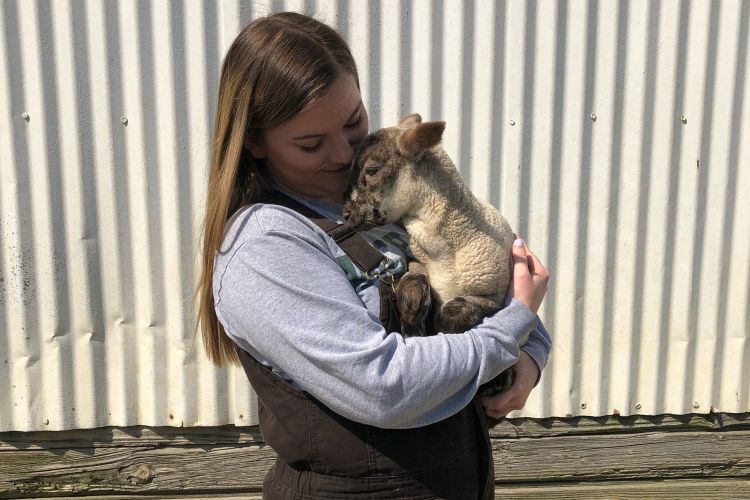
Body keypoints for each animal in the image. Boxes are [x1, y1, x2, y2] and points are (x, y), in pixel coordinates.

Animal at [344, 113, 520, 394]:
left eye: (371, 170)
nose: (346, 214)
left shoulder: (492, 294)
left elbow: (454, 313)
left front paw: (441, 332)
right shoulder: (416, 262)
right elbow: (414, 287)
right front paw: (412, 327)